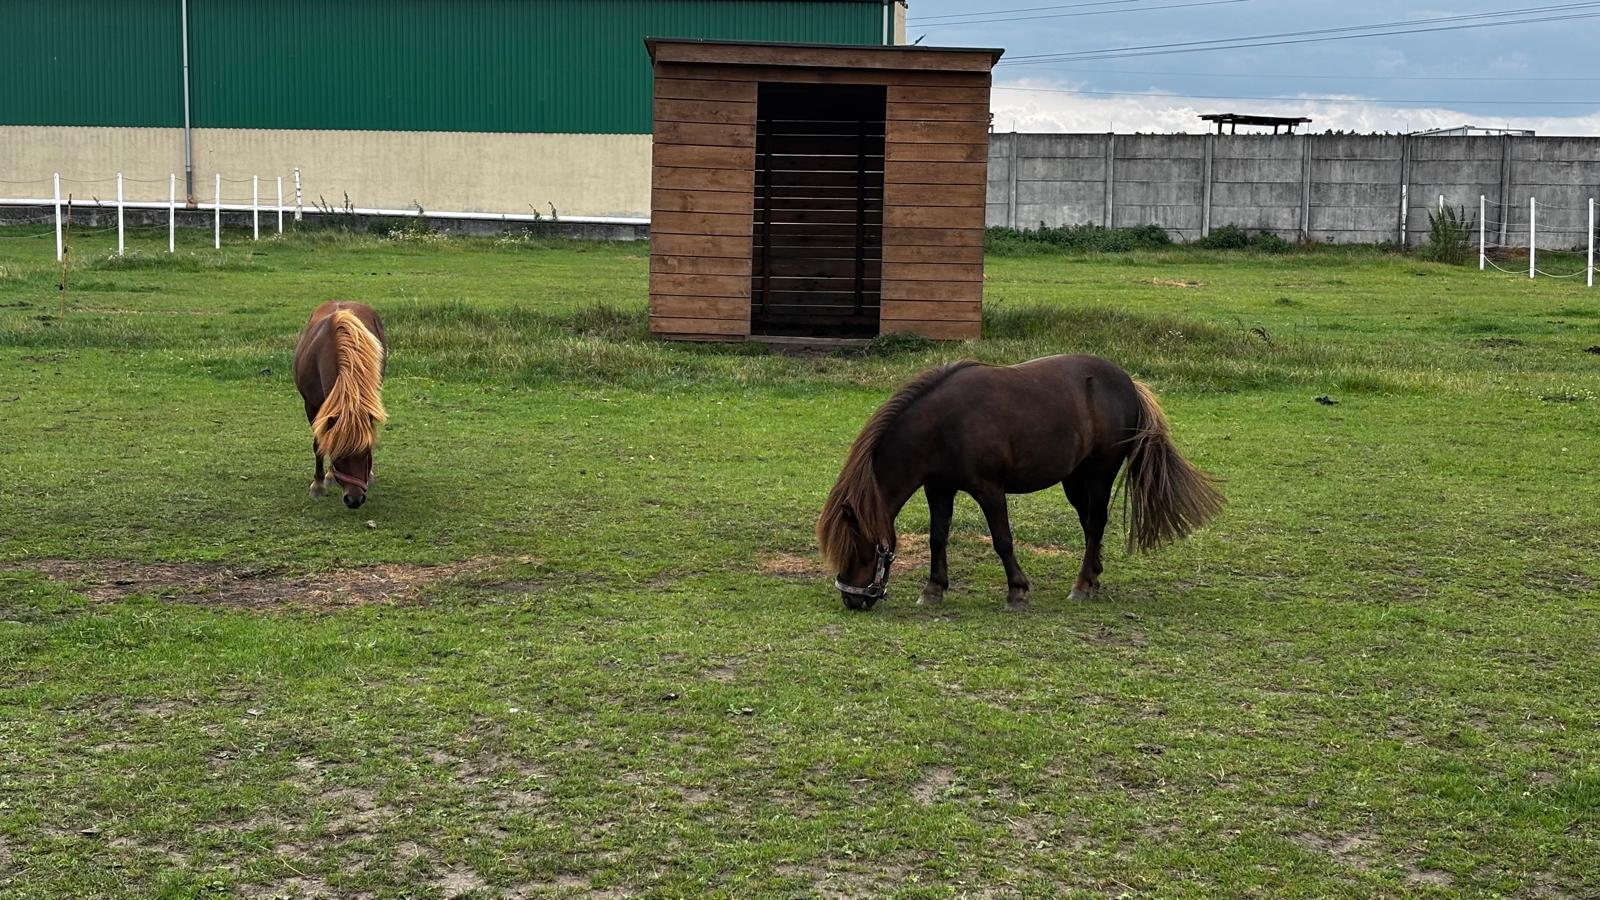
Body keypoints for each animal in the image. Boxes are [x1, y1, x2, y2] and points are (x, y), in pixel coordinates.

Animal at [292, 301, 387, 509]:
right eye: (338, 455)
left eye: (366, 451)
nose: (354, 500)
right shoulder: (311, 405)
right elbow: (320, 443)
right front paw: (318, 485)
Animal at [817, 355, 1223, 611]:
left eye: (859, 547)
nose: (851, 598)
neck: (944, 425)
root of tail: (1127, 382)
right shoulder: (939, 488)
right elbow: (938, 537)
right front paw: (933, 589)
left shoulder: (989, 490)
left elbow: (1003, 540)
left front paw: (1017, 590)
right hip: (1074, 480)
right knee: (1090, 526)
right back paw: (1092, 579)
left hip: (1099, 473)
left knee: (1095, 524)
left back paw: (1080, 587)